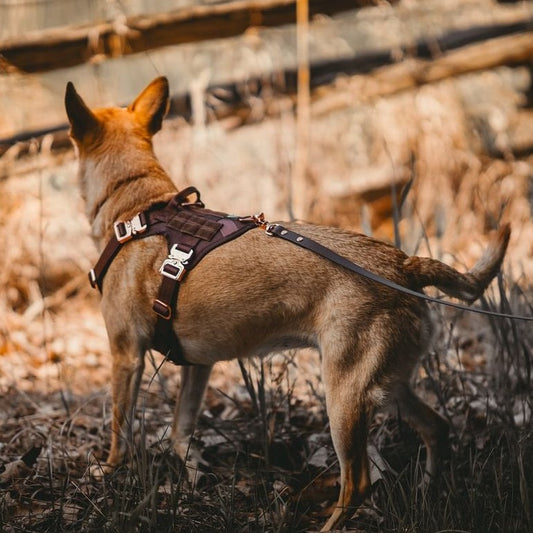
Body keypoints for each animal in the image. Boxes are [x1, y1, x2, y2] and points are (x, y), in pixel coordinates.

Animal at [64, 77, 510, 528]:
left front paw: (109, 469)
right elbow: (181, 429)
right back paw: (427, 491)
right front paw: (192, 474)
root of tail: (403, 265)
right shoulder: (198, 366)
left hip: (345, 399)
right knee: (437, 428)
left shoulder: (126, 356)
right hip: (388, 385)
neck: (140, 207)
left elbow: (120, 428)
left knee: (357, 483)